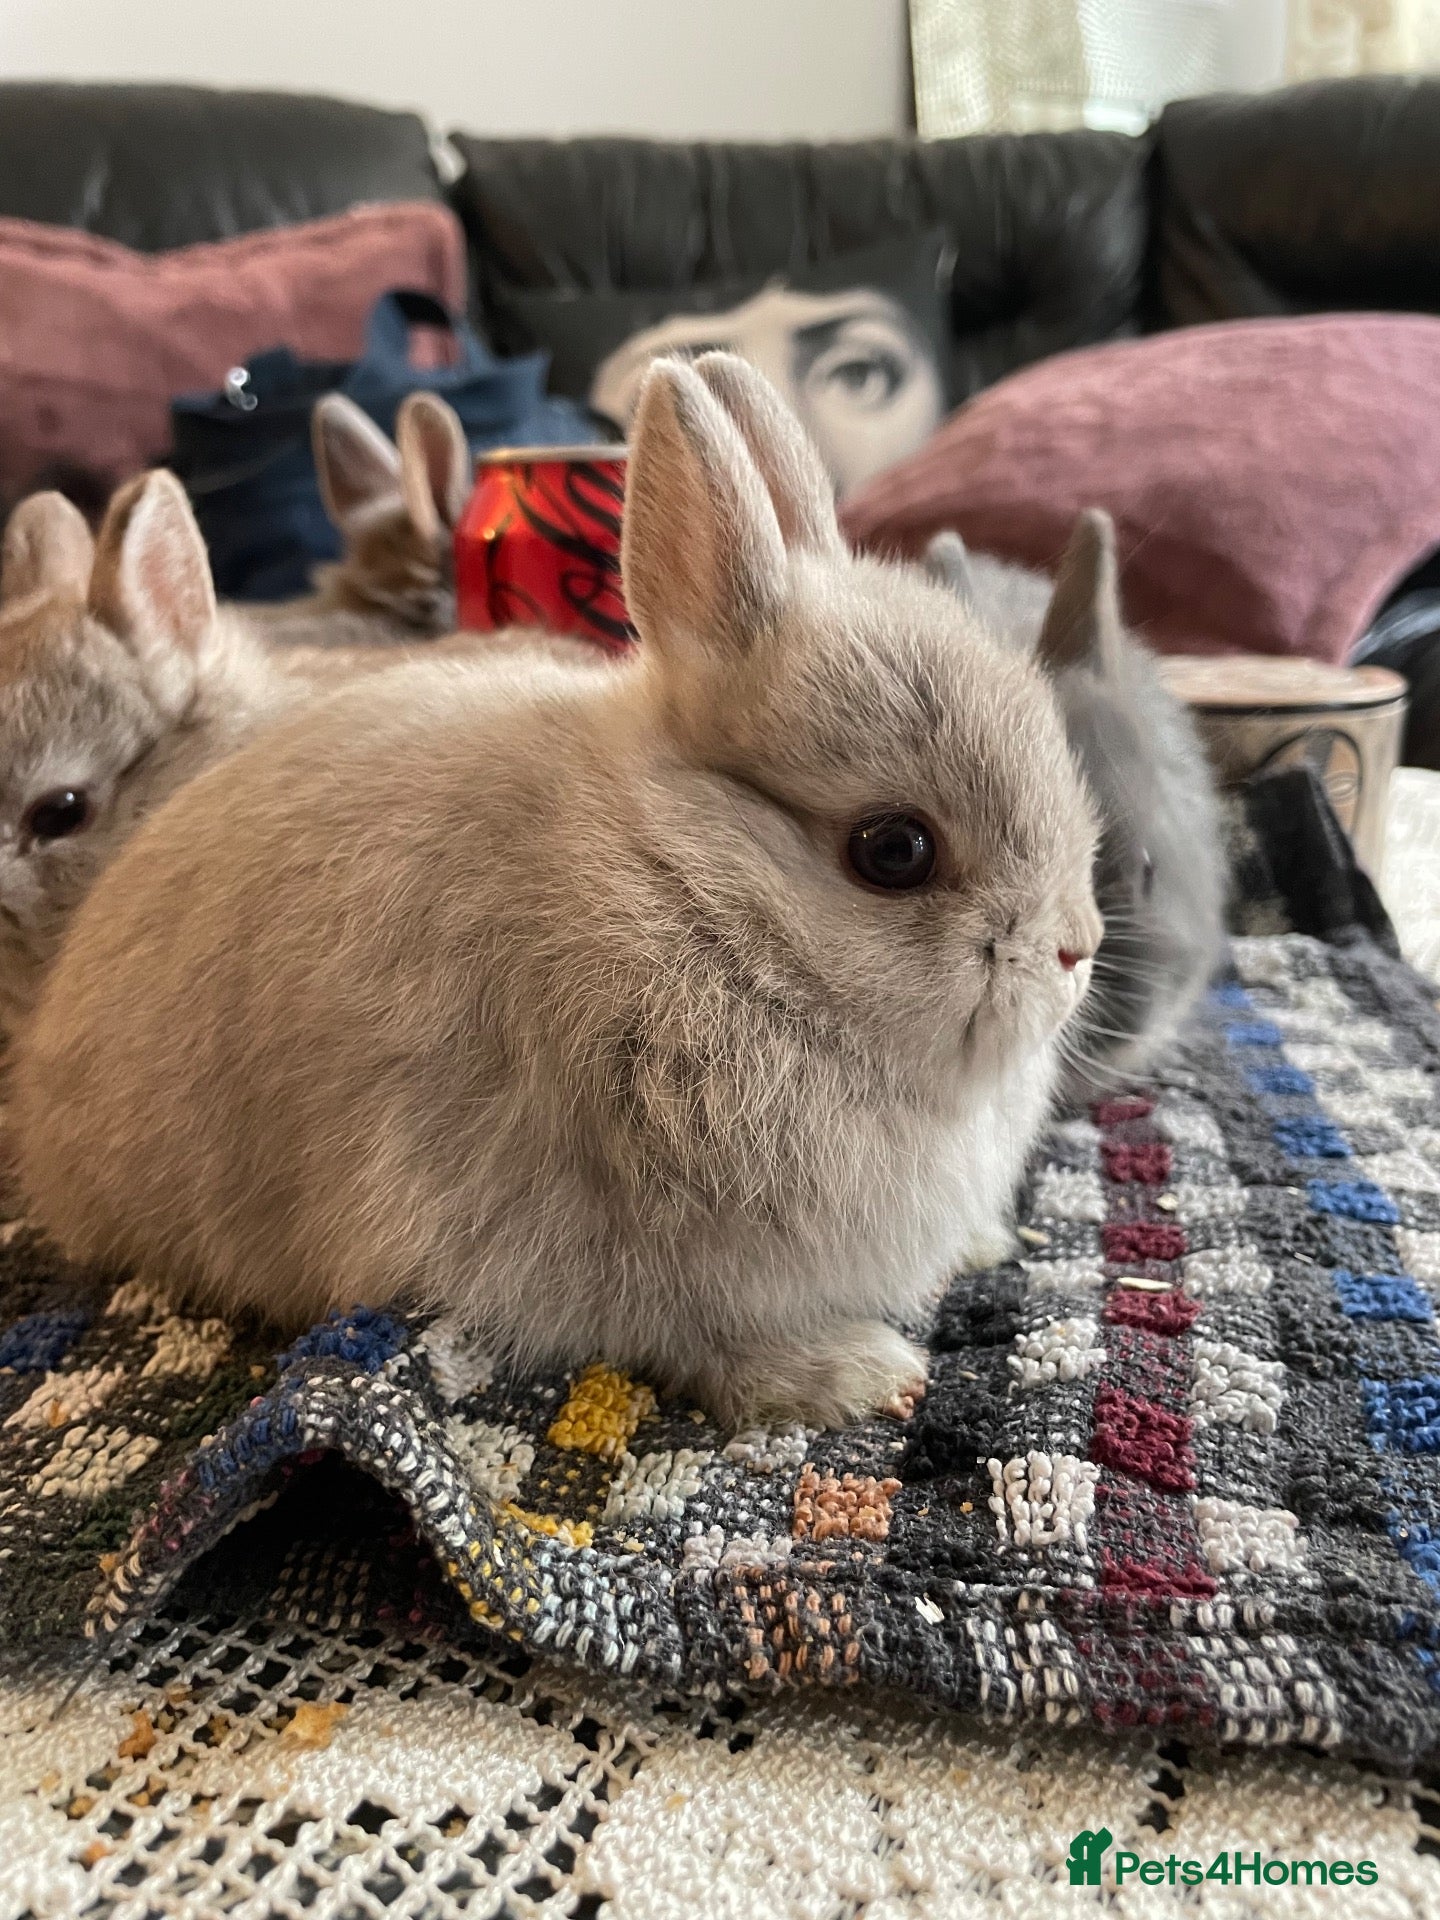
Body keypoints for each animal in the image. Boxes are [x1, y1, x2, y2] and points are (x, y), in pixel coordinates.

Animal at [13, 351, 1103, 1431]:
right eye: (894, 851)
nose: (1076, 949)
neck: (694, 893)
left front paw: (978, 1249)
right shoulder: (608, 1250)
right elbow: (701, 1336)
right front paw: (857, 1375)